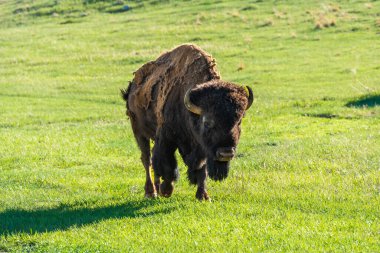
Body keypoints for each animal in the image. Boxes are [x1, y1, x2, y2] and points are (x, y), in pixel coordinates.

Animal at [121, 44, 252, 202]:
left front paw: (203, 196)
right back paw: (151, 192)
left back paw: (156, 189)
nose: (226, 153)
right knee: (147, 159)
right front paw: (166, 190)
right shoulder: (167, 138)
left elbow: (202, 169)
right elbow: (167, 164)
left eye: (239, 121)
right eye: (207, 121)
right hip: (139, 132)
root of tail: (133, 86)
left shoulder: (203, 147)